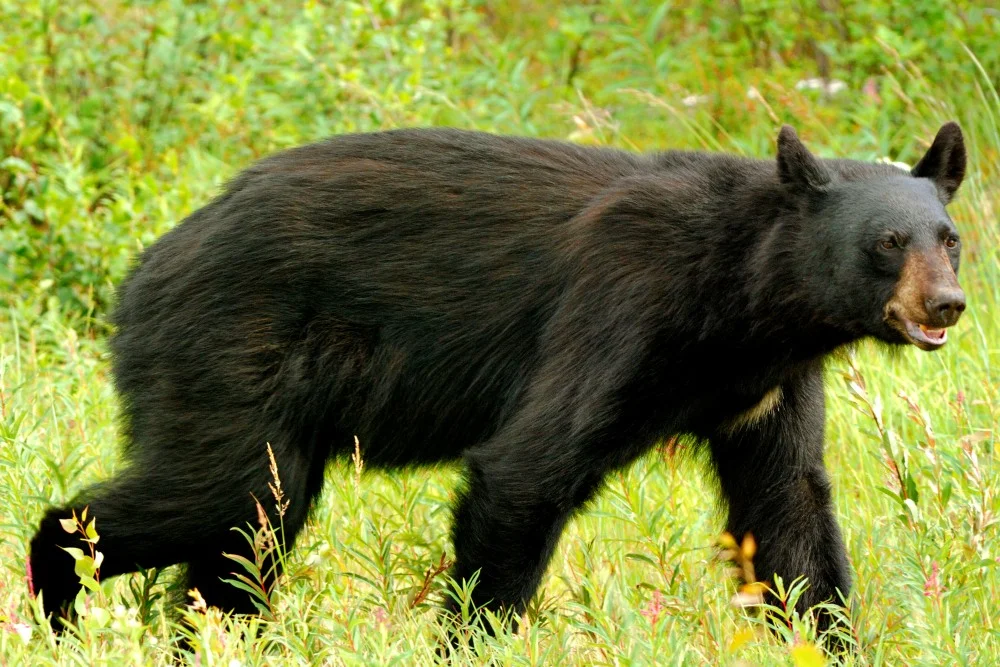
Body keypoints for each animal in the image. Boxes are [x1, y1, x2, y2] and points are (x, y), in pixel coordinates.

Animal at [29, 122, 966, 641]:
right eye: (888, 241)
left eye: (949, 237)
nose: (948, 305)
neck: (749, 306)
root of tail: (144, 267)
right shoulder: (622, 309)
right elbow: (528, 470)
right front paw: (469, 635)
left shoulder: (766, 385)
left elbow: (790, 514)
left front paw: (834, 636)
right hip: (232, 349)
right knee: (220, 494)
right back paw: (56, 600)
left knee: (242, 538)